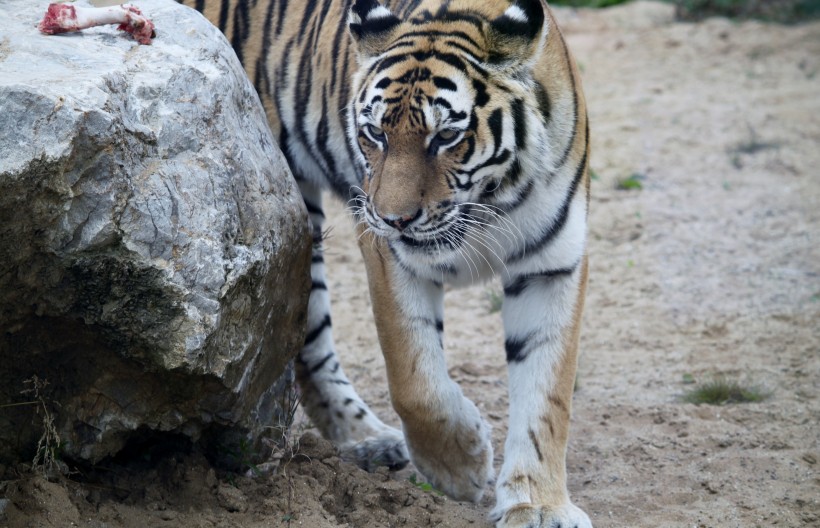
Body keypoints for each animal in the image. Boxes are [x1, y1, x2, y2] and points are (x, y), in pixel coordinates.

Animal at [178, 0, 592, 525]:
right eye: (376, 132)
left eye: (446, 136)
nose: (396, 219)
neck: (491, 201)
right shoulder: (388, 254)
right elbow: (415, 380)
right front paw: (461, 466)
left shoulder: (551, 268)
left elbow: (547, 397)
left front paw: (536, 505)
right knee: (306, 337)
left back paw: (368, 441)